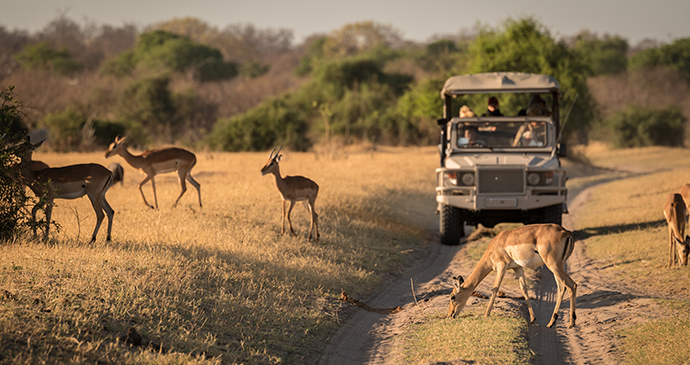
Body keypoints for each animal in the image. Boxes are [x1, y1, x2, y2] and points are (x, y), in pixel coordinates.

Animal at [446, 223, 576, 328]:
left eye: (452, 297)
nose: (450, 315)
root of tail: (566, 232)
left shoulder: (501, 266)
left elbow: (495, 289)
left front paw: (486, 314)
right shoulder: (517, 267)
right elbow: (524, 289)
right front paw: (533, 319)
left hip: (553, 265)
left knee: (572, 285)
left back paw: (571, 323)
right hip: (556, 267)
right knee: (562, 287)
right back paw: (551, 323)